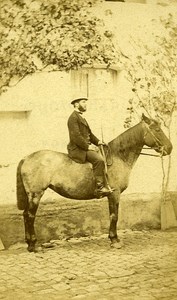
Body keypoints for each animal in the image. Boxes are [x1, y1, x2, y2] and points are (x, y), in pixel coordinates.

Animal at [16, 113, 171, 252]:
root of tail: (26, 158)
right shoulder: (114, 194)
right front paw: (114, 240)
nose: (170, 148)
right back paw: (33, 245)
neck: (117, 156)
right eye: (157, 129)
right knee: (30, 216)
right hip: (36, 194)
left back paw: (29, 243)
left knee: (25, 214)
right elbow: (114, 216)